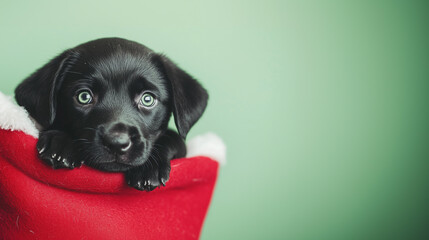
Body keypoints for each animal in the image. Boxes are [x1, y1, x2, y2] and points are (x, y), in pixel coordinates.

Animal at [16, 37, 209, 191]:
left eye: (147, 99)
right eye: (84, 96)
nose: (117, 143)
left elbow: (173, 138)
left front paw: (149, 167)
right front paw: (60, 143)